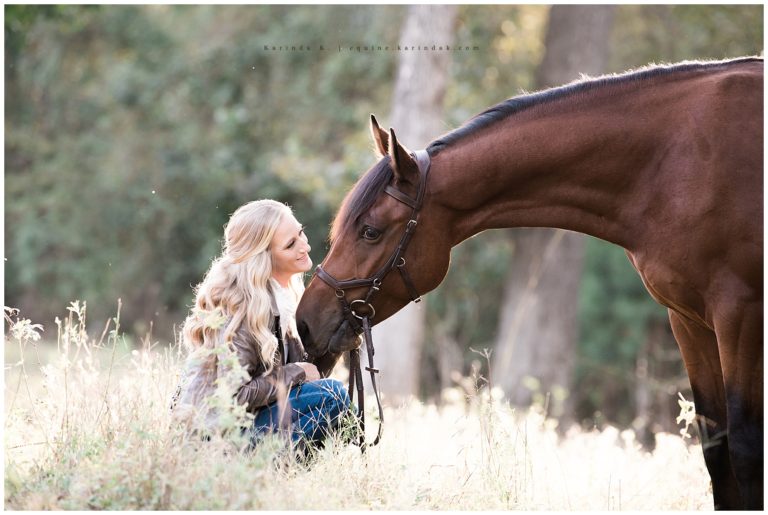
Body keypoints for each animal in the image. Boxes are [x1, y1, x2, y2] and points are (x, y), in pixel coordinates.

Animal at [295, 57, 763, 510]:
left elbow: (744, 450)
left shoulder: (740, 314)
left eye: (370, 231)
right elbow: (717, 450)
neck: (674, 161)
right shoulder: (689, 321)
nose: (303, 323)